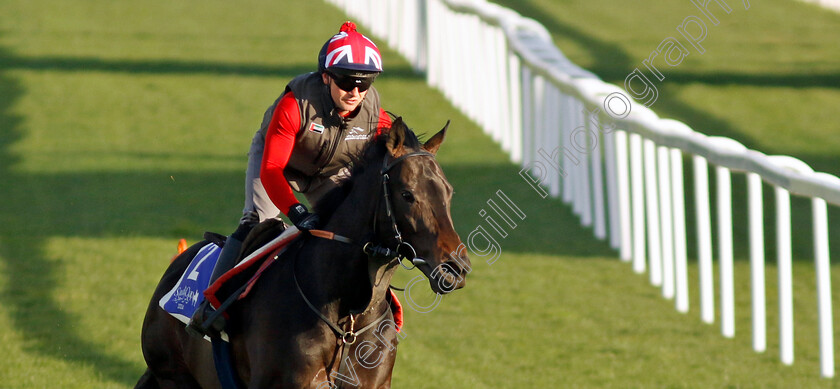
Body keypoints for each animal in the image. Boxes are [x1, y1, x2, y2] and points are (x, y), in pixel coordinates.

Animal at [135, 116, 470, 386]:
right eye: (407, 194)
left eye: (449, 191)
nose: (456, 267)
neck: (347, 315)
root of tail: (180, 259)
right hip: (173, 376)